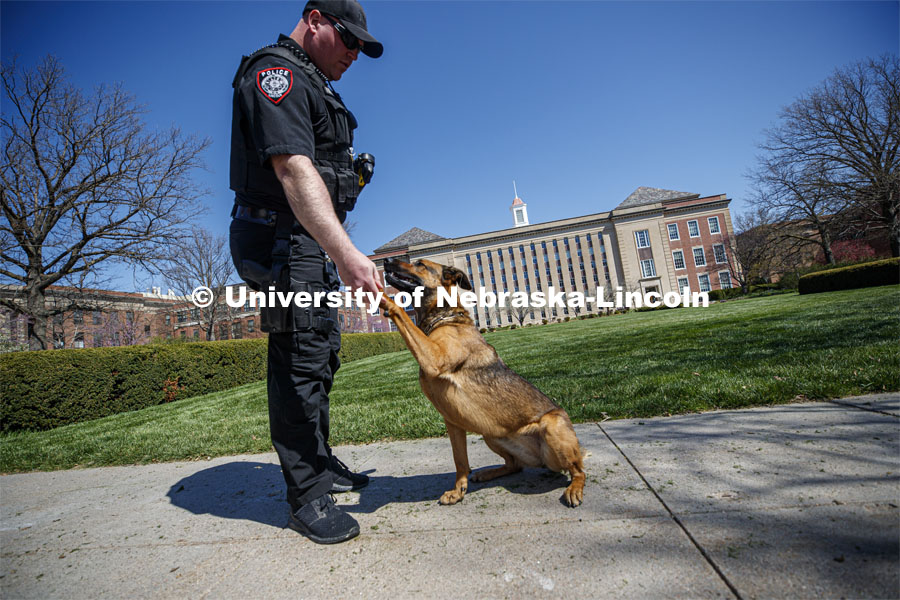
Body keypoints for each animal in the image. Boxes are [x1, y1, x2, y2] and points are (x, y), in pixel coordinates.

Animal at [378, 258, 584, 506]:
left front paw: (381, 297)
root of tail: (542, 461)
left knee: (578, 470)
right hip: (491, 433)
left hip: (551, 426)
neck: (443, 317)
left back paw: (575, 488)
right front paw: (459, 491)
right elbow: (460, 460)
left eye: (419, 264)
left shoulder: (434, 358)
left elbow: (402, 313)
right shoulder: (453, 422)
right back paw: (489, 473)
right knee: (515, 465)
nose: (386, 261)